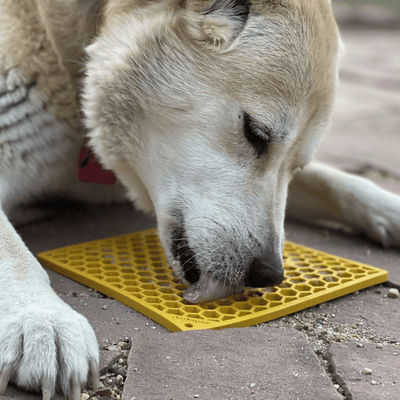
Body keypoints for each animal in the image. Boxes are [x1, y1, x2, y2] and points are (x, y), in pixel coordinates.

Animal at [0, 0, 400, 398]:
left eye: (297, 166)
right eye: (255, 133)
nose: (269, 275)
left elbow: (334, 181)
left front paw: (389, 208)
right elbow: (11, 247)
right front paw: (41, 319)